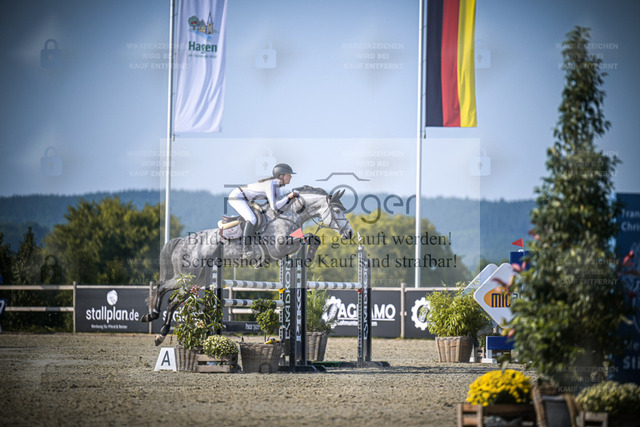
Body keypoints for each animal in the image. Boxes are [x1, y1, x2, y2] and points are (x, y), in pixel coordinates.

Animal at [141, 186, 353, 345]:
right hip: (187, 277)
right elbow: (307, 238)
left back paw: (156, 324)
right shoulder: (279, 248)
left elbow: (313, 238)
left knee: (173, 298)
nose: (349, 233)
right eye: (337, 210)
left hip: (197, 281)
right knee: (164, 290)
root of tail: (180, 241)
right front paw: (308, 255)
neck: (288, 217)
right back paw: (156, 323)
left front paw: (309, 256)